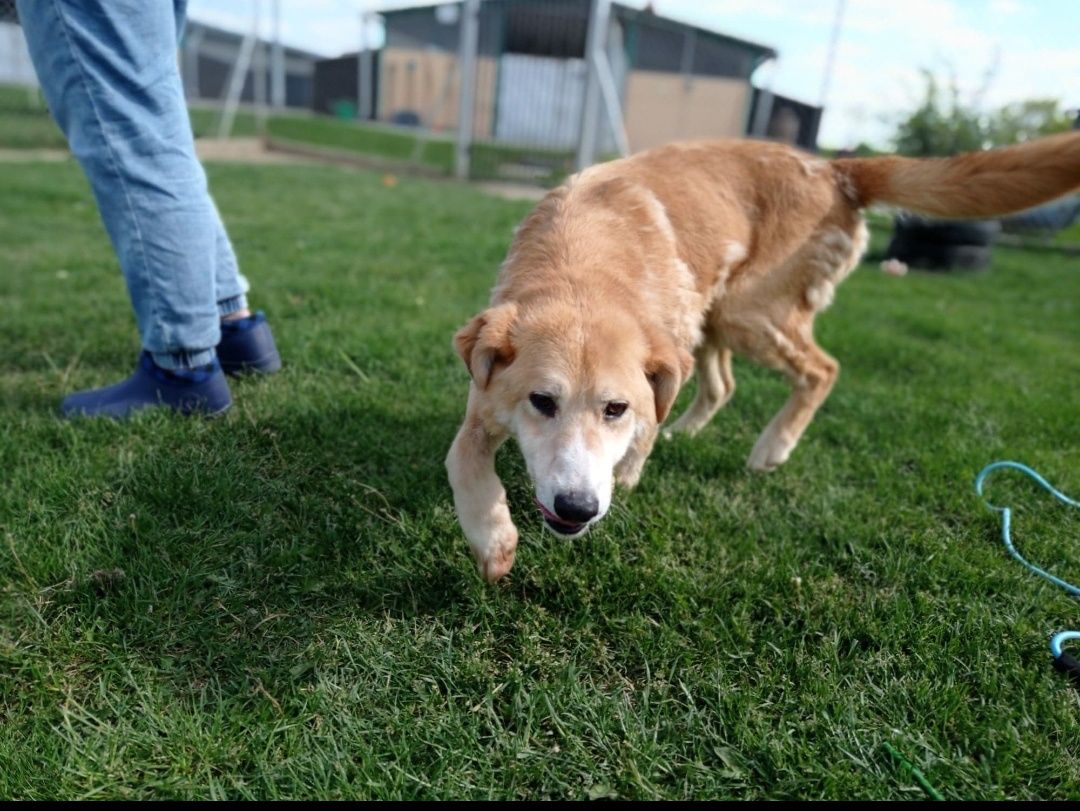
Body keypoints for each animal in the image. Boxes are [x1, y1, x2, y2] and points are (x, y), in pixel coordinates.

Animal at [444, 133, 1080, 578]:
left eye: (614, 409)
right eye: (541, 401)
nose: (577, 508)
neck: (582, 264)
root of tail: (834, 168)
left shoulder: (653, 380)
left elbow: (642, 436)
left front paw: (628, 473)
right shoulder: (484, 400)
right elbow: (464, 465)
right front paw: (495, 542)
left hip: (747, 313)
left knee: (823, 369)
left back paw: (772, 447)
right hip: (716, 320)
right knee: (723, 384)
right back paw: (692, 431)